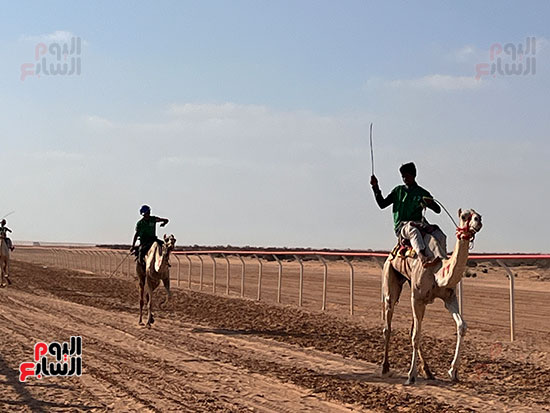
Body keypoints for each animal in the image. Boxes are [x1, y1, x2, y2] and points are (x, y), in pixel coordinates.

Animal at [382, 208, 486, 384]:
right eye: (464, 216)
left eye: (478, 214)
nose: (478, 221)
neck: (438, 269)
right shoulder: (417, 298)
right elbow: (416, 336)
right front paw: (411, 375)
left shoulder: (449, 297)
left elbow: (461, 326)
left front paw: (453, 372)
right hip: (390, 275)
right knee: (388, 324)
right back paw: (385, 367)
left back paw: (429, 371)